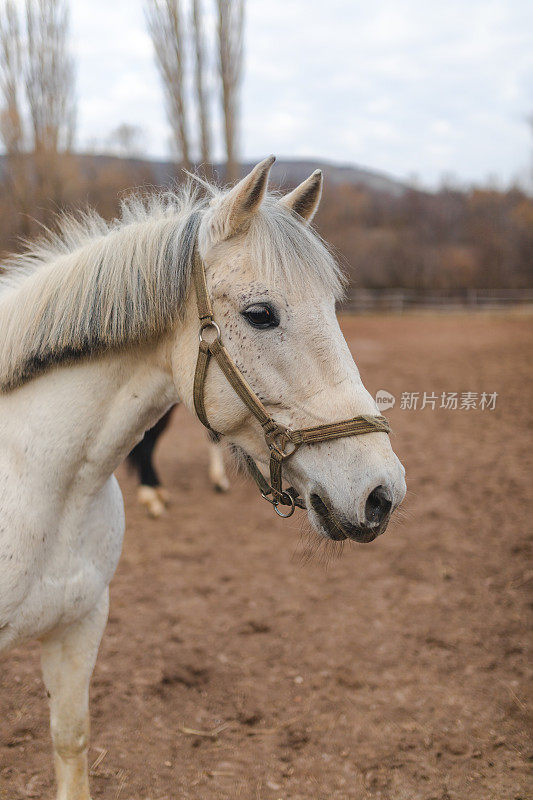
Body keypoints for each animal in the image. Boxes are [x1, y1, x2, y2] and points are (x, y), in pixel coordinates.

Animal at [0, 158, 406, 800]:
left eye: (333, 306)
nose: (380, 493)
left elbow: (71, 743)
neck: (43, 486)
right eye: (261, 314)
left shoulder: (78, 629)